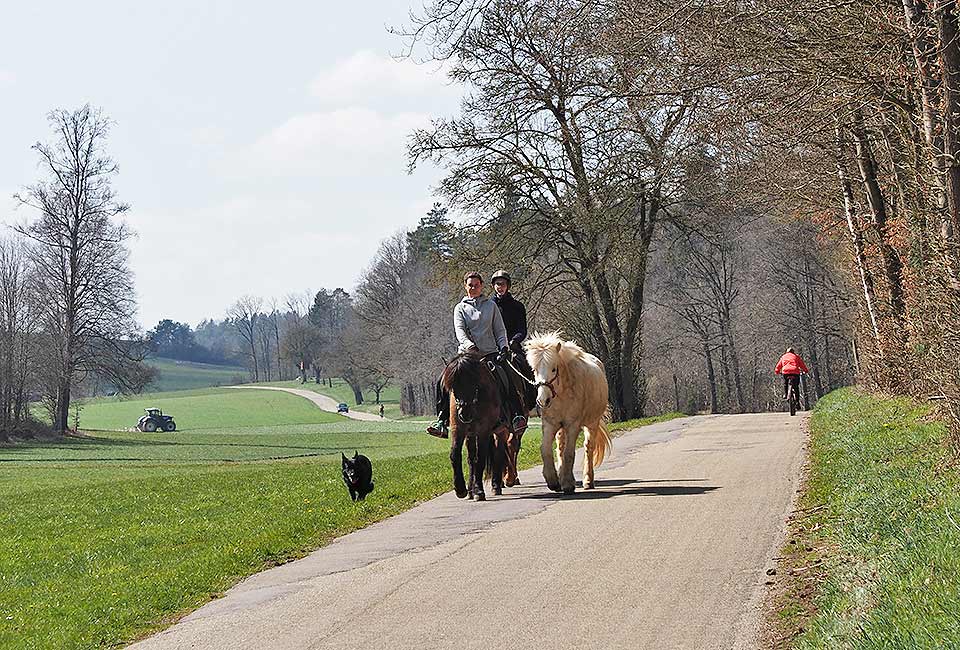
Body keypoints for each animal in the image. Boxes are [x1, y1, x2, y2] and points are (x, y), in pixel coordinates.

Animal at [444, 352, 510, 498]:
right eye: (453, 386)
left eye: (473, 382)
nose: (464, 414)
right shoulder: (458, 429)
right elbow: (455, 455)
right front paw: (460, 489)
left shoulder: (483, 430)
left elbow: (480, 459)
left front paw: (479, 491)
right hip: (470, 434)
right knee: (471, 458)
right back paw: (470, 490)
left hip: (500, 431)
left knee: (497, 454)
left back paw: (495, 486)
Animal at [520, 332, 612, 494]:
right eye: (535, 370)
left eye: (554, 369)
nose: (543, 400)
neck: (562, 393)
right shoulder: (550, 424)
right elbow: (546, 450)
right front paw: (553, 481)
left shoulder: (572, 425)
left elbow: (569, 453)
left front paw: (568, 484)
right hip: (561, 428)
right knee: (560, 448)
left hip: (592, 423)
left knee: (588, 447)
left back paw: (588, 481)